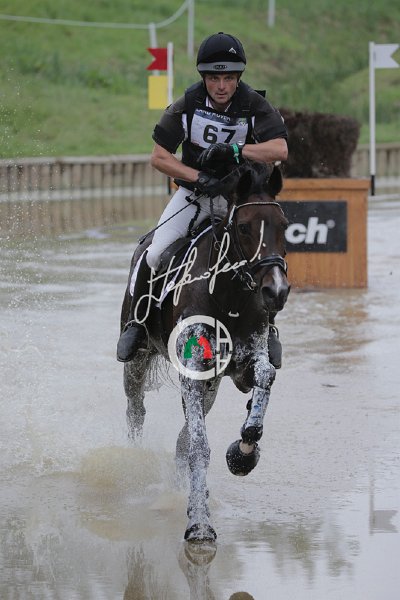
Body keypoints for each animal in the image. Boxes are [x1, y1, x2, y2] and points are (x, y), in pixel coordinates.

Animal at [119, 161, 290, 543]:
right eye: (243, 227)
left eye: (285, 226)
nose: (277, 291)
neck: (228, 296)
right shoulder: (192, 372)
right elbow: (199, 448)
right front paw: (199, 523)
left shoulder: (244, 364)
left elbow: (265, 378)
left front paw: (244, 453)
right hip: (136, 360)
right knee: (136, 410)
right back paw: (133, 462)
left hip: (211, 385)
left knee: (182, 437)